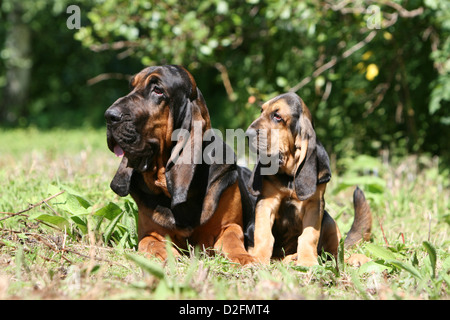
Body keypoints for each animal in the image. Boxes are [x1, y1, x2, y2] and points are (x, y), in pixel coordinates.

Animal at [103, 64, 255, 264]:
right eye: (131, 87)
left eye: (158, 90)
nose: (109, 116)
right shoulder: (150, 233)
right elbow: (151, 243)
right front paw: (165, 255)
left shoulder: (229, 225)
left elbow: (232, 239)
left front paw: (244, 257)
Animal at [246, 93, 370, 268]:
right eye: (261, 111)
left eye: (277, 116)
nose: (247, 134)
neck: (289, 176)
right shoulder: (266, 201)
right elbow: (263, 233)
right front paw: (258, 258)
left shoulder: (314, 204)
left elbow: (309, 235)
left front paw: (307, 261)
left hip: (329, 221)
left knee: (336, 255)